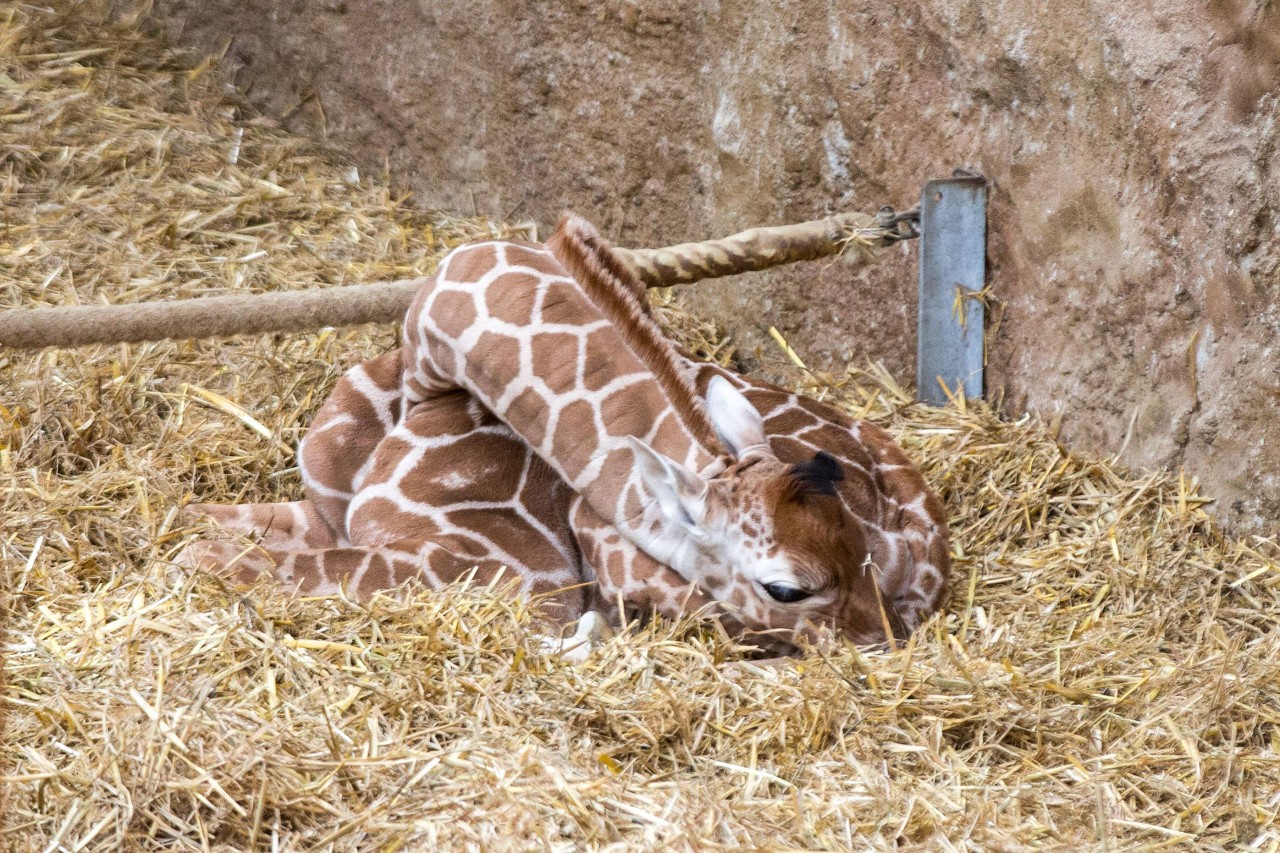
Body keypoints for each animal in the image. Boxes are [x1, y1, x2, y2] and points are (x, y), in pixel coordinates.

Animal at [185, 213, 952, 650]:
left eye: (857, 552)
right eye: (788, 587)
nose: (886, 641)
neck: (425, 380)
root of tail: (926, 545)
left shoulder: (514, 573)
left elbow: (224, 558)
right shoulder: (325, 515)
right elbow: (195, 522)